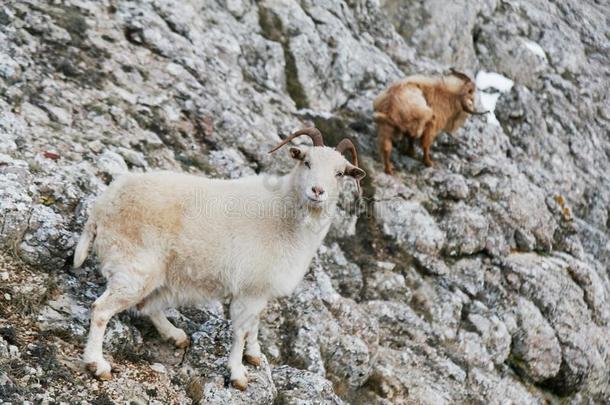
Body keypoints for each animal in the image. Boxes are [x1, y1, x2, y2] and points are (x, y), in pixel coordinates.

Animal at [73, 128, 364, 390]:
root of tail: (102, 206)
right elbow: (240, 331)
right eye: (306, 161)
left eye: (340, 173)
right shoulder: (249, 290)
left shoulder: (259, 289)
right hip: (133, 267)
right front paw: (238, 375)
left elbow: (254, 325)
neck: (286, 217)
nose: (317, 191)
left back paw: (175, 335)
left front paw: (254, 355)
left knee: (146, 306)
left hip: (158, 274)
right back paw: (98, 365)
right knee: (101, 310)